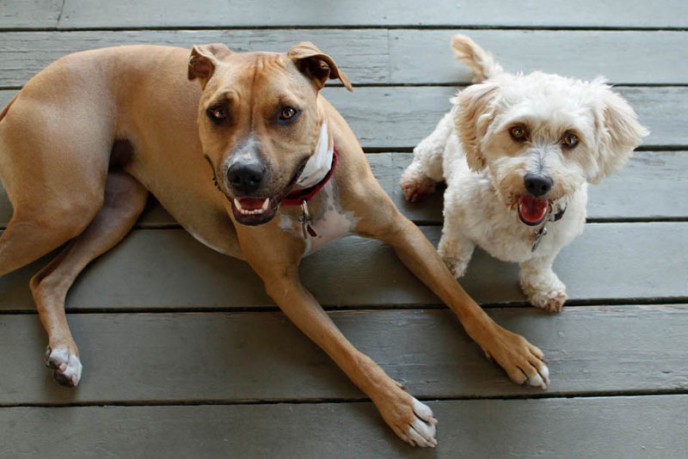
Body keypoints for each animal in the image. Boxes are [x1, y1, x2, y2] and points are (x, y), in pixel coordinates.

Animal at [0, 42, 548, 446]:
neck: (304, 196)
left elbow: (459, 297)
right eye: (216, 112)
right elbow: (347, 351)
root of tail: (32, 83)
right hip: (64, 206)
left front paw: (508, 347)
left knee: (46, 279)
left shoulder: (402, 232)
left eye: (287, 112)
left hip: (113, 207)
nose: (243, 174)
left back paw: (64, 354)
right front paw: (397, 407)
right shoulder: (284, 287)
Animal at [400, 34, 648, 310]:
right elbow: (455, 246)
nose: (538, 182)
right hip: (436, 150)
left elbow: (537, 267)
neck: (514, 217)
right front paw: (445, 268)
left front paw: (544, 290)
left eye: (571, 139)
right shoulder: (456, 217)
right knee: (423, 158)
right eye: (518, 131)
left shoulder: (549, 246)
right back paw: (417, 181)